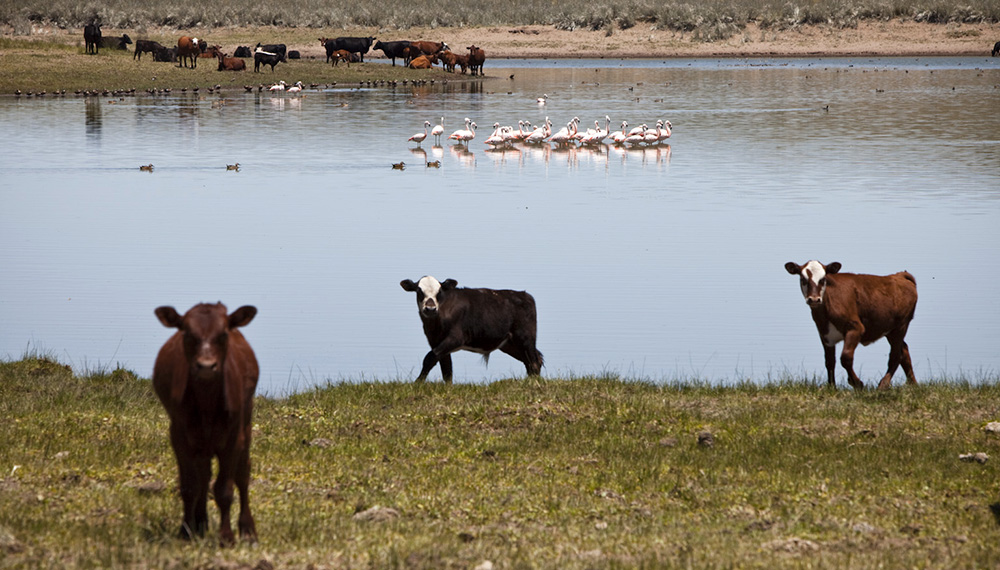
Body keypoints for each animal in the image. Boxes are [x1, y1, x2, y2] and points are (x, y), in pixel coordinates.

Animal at [152, 302, 260, 546]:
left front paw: (226, 537)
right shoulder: (179, 436)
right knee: (203, 474)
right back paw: (200, 522)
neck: (207, 402)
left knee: (242, 474)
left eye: (223, 334)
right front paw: (185, 531)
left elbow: (224, 489)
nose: (206, 366)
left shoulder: (233, 438)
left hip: (246, 423)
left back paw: (248, 530)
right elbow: (189, 485)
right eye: (187, 334)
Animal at [400, 276, 543, 383]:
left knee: (534, 362)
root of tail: (524, 294)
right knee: (532, 360)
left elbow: (429, 358)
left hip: (525, 337)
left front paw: (417, 383)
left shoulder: (456, 337)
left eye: (439, 292)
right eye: (419, 291)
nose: (430, 309)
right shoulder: (435, 341)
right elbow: (446, 369)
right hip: (509, 344)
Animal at [784, 260, 918, 391]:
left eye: (823, 279)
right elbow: (829, 361)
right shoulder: (825, 334)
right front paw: (832, 387)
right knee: (904, 350)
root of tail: (899, 275)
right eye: (803, 279)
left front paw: (857, 383)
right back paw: (913, 384)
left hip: (901, 326)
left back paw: (883, 385)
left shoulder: (855, 328)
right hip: (889, 330)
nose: (814, 299)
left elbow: (846, 358)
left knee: (896, 355)